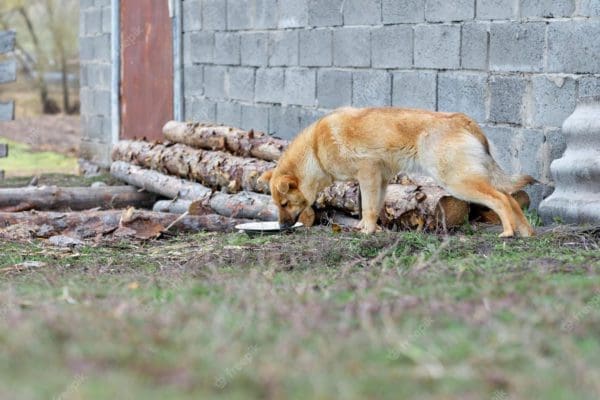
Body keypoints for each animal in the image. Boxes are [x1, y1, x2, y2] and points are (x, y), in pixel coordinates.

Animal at [258, 107, 536, 238]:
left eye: (284, 203)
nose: (281, 227)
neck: (315, 148)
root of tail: (462, 120)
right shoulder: (379, 180)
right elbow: (371, 207)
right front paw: (366, 228)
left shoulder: (368, 173)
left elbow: (369, 208)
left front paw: (368, 231)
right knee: (511, 199)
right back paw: (525, 232)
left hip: (458, 182)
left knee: (500, 200)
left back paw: (508, 232)